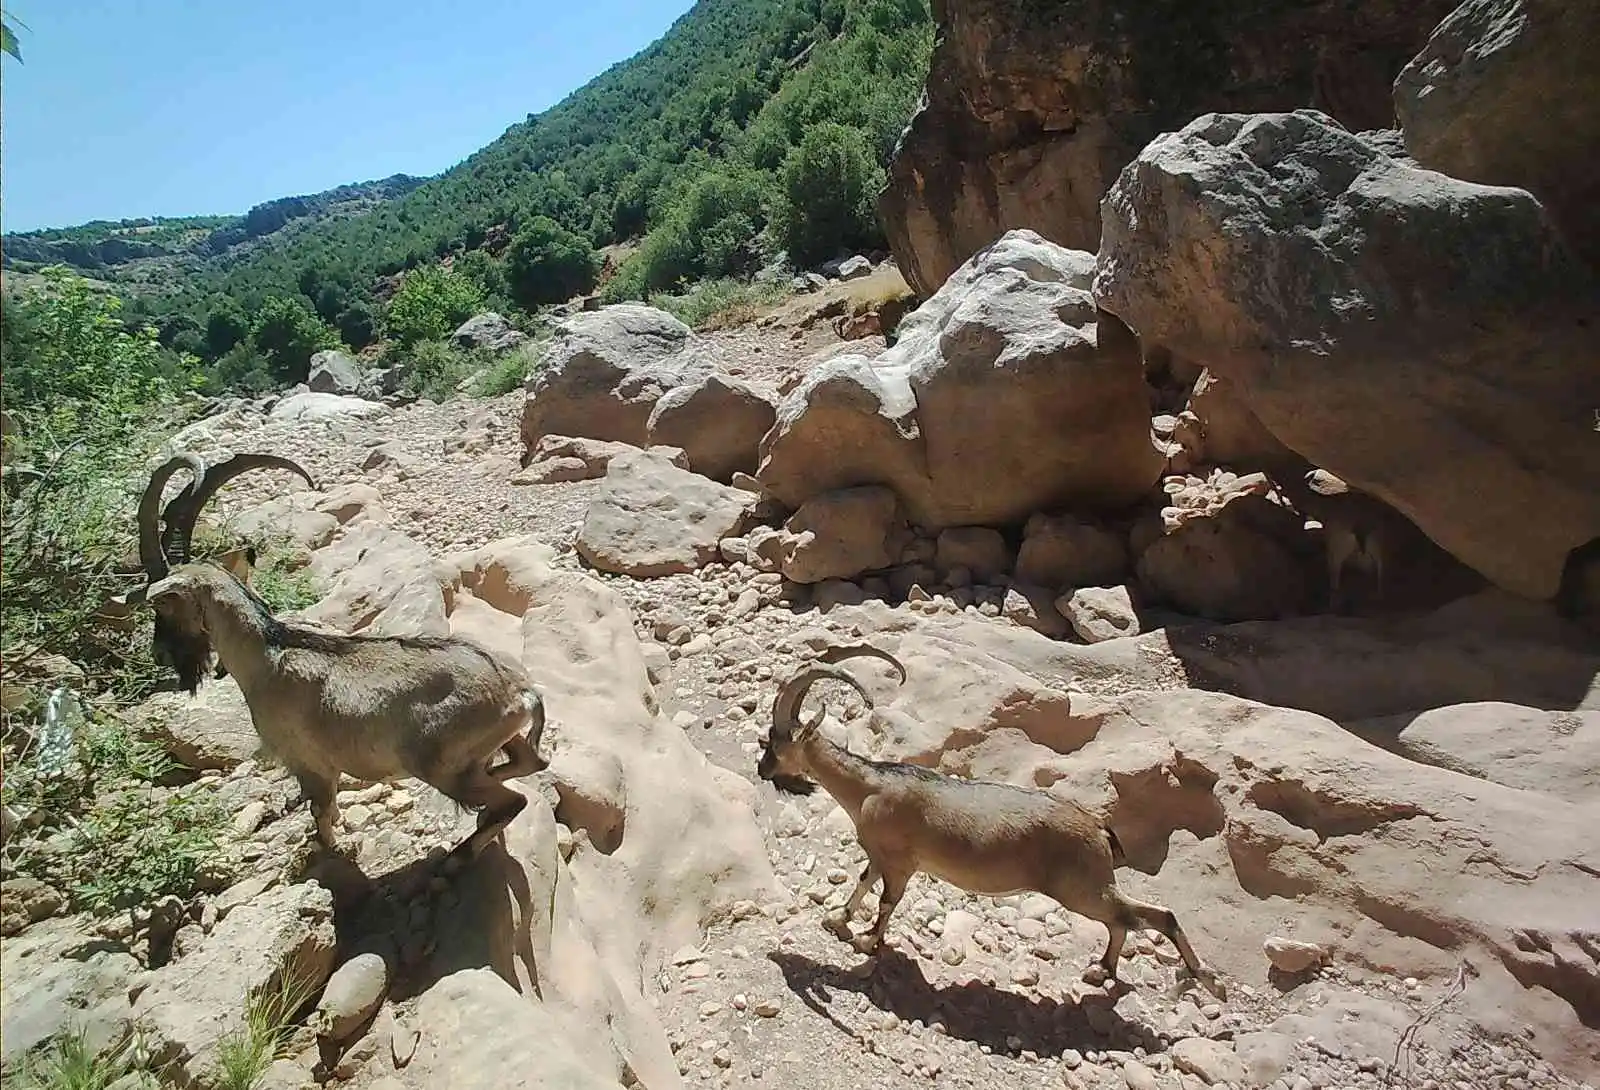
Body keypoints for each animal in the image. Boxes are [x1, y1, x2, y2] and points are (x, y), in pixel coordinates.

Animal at [118, 448, 550, 857]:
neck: (269, 657)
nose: (159, 654)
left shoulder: (309, 762)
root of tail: (522, 694)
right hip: (491, 746)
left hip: (442, 766)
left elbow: (320, 809)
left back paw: (459, 855)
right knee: (531, 764)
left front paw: (332, 847)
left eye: (162, 605)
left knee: (513, 800)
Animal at [758, 646, 1222, 992]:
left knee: (1147, 916)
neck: (870, 787)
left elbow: (888, 901)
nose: (763, 771)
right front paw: (837, 918)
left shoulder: (901, 864)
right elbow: (863, 881)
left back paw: (1198, 978)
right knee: (1128, 920)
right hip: (1089, 886)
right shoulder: (881, 856)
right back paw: (1107, 970)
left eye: (772, 742)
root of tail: (1097, 828)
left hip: (1081, 887)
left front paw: (868, 940)